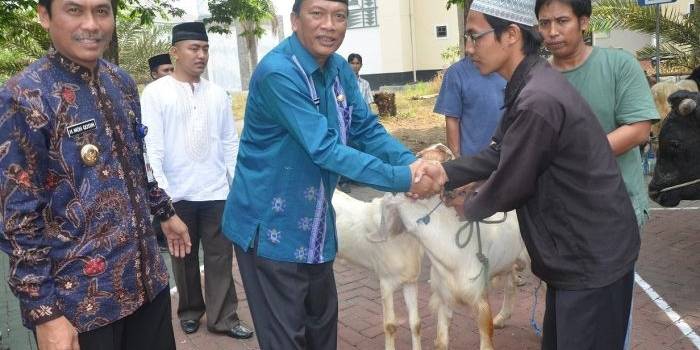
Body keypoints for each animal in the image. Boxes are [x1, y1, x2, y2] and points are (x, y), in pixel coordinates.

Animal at [380, 194, 528, 350]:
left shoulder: (479, 298)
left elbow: (486, 337)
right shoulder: (445, 296)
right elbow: (441, 341)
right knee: (511, 286)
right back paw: (500, 319)